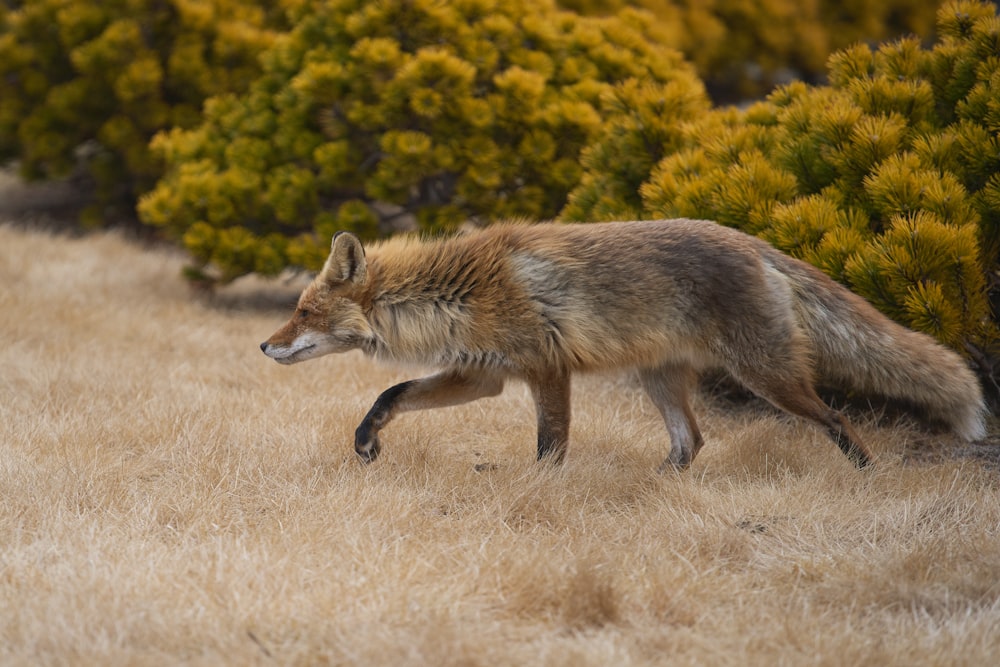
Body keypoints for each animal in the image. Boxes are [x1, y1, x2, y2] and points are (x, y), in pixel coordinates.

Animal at [258, 219, 984, 470]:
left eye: (302, 311)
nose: (264, 347)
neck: (457, 291)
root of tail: (752, 241)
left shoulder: (545, 368)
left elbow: (551, 444)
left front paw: (540, 494)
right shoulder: (483, 374)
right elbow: (391, 394)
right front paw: (366, 443)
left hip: (770, 379)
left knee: (835, 418)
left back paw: (867, 473)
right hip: (660, 379)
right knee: (693, 441)